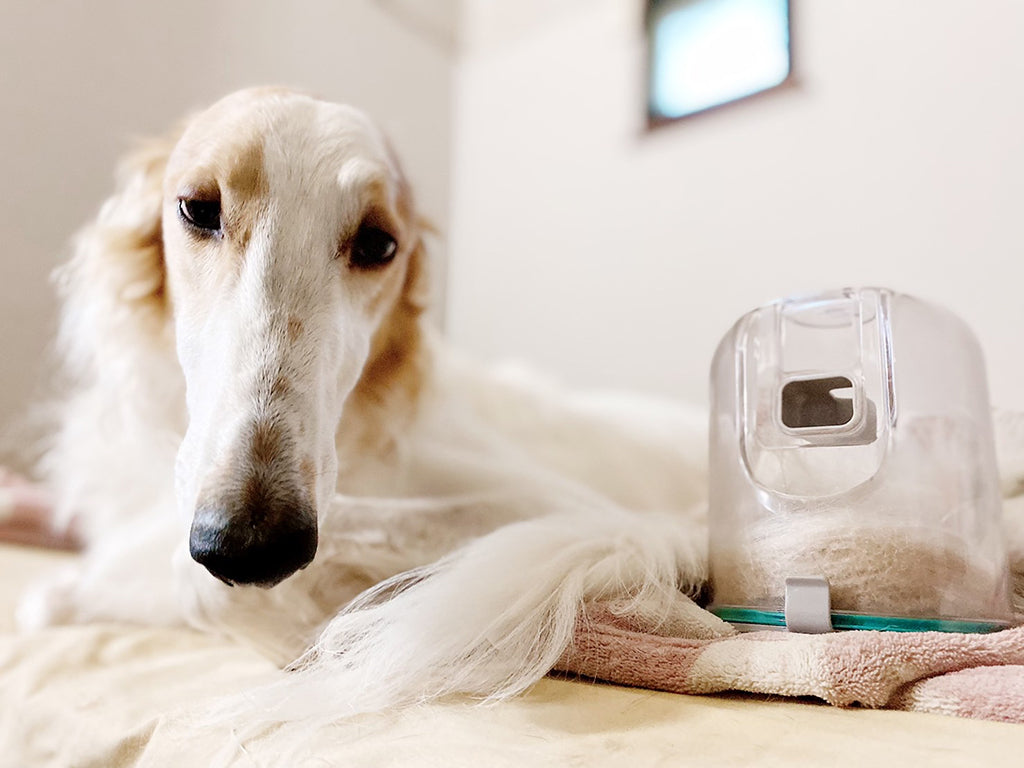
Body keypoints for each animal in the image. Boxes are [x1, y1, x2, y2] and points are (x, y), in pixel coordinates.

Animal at [19, 90, 716, 720]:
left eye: (380, 244)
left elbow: (198, 585)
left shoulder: (585, 514)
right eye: (198, 207)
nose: (250, 544)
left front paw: (321, 635)